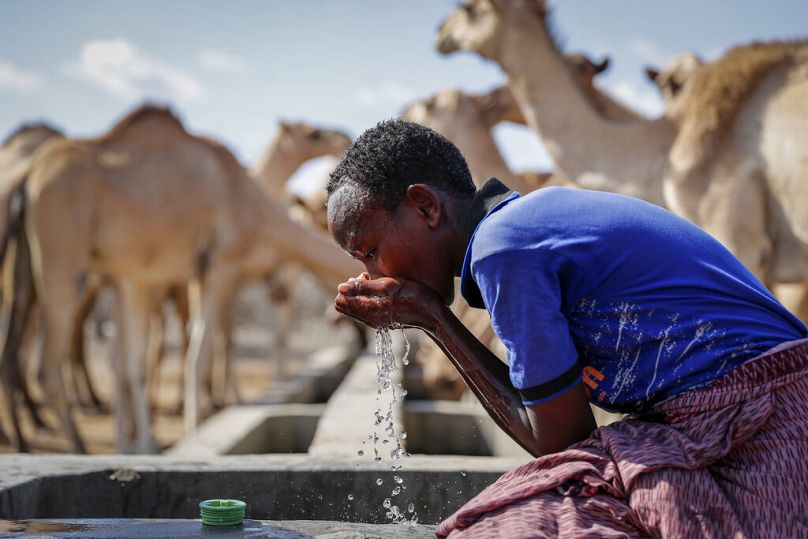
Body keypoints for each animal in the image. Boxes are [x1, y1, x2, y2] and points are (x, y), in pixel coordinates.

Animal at [2, 104, 360, 452]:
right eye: (312, 132)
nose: (342, 136)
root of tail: (27, 182)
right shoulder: (217, 268)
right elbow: (198, 355)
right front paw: (194, 429)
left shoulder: (152, 277)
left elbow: (140, 360)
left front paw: (145, 441)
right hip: (62, 267)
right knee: (47, 366)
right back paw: (76, 445)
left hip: (37, 276)